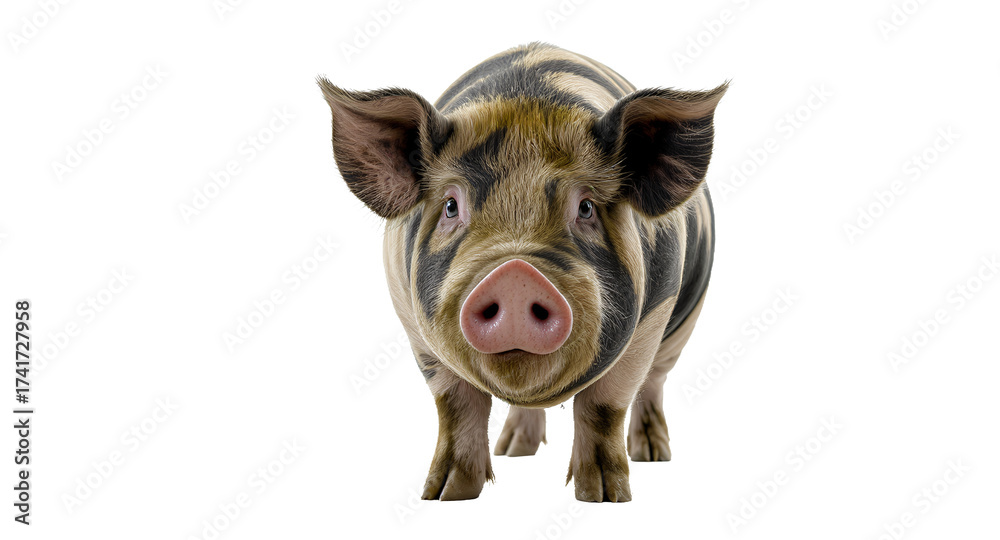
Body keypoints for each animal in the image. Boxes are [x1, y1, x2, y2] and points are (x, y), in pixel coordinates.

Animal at [319, 42, 726, 502]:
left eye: (586, 207)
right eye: (450, 206)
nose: (515, 274)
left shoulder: (653, 320)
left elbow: (605, 403)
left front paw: (605, 497)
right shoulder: (414, 328)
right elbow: (456, 406)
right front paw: (443, 495)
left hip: (682, 326)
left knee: (654, 384)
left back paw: (654, 456)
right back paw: (513, 451)